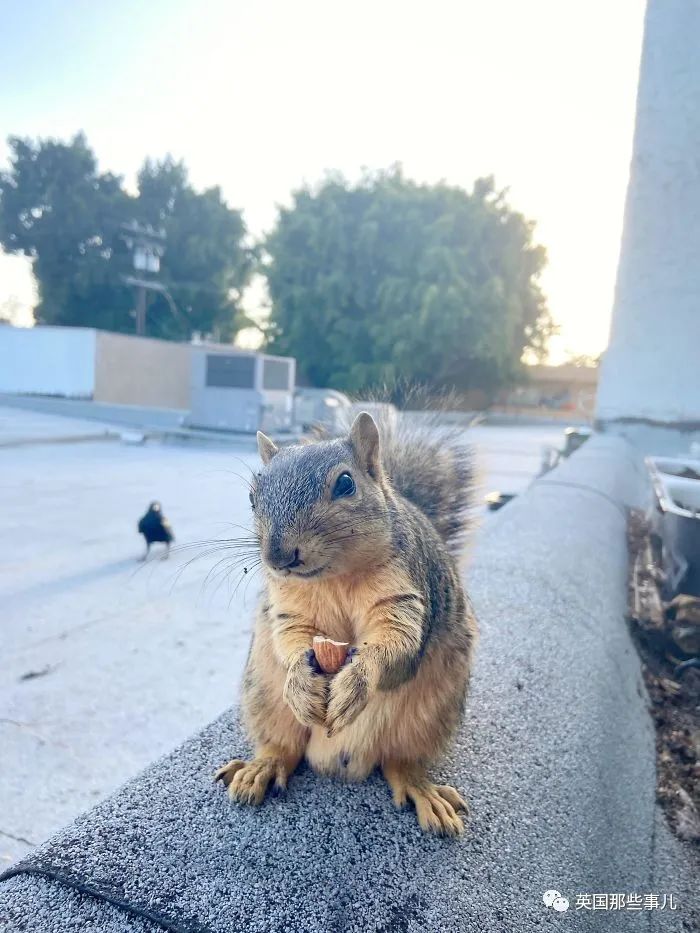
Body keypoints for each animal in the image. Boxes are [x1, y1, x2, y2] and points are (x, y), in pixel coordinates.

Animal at [216, 412, 478, 832]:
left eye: (345, 483)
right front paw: (300, 680)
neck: (334, 578)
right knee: (283, 747)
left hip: (428, 718)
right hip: (264, 698)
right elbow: (290, 638)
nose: (277, 556)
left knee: (399, 763)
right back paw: (262, 766)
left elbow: (396, 643)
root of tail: (338, 758)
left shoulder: (405, 595)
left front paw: (356, 682)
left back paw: (422, 790)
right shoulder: (289, 608)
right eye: (252, 497)